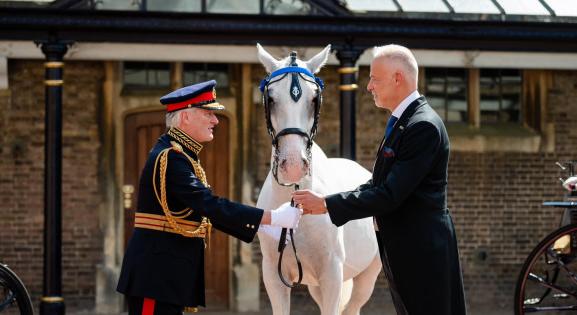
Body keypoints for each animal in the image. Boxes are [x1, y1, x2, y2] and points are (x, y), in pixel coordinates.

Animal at [256, 44, 382, 315]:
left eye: (314, 99)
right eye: (271, 99)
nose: (294, 165)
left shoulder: (332, 275)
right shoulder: (273, 276)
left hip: (367, 276)